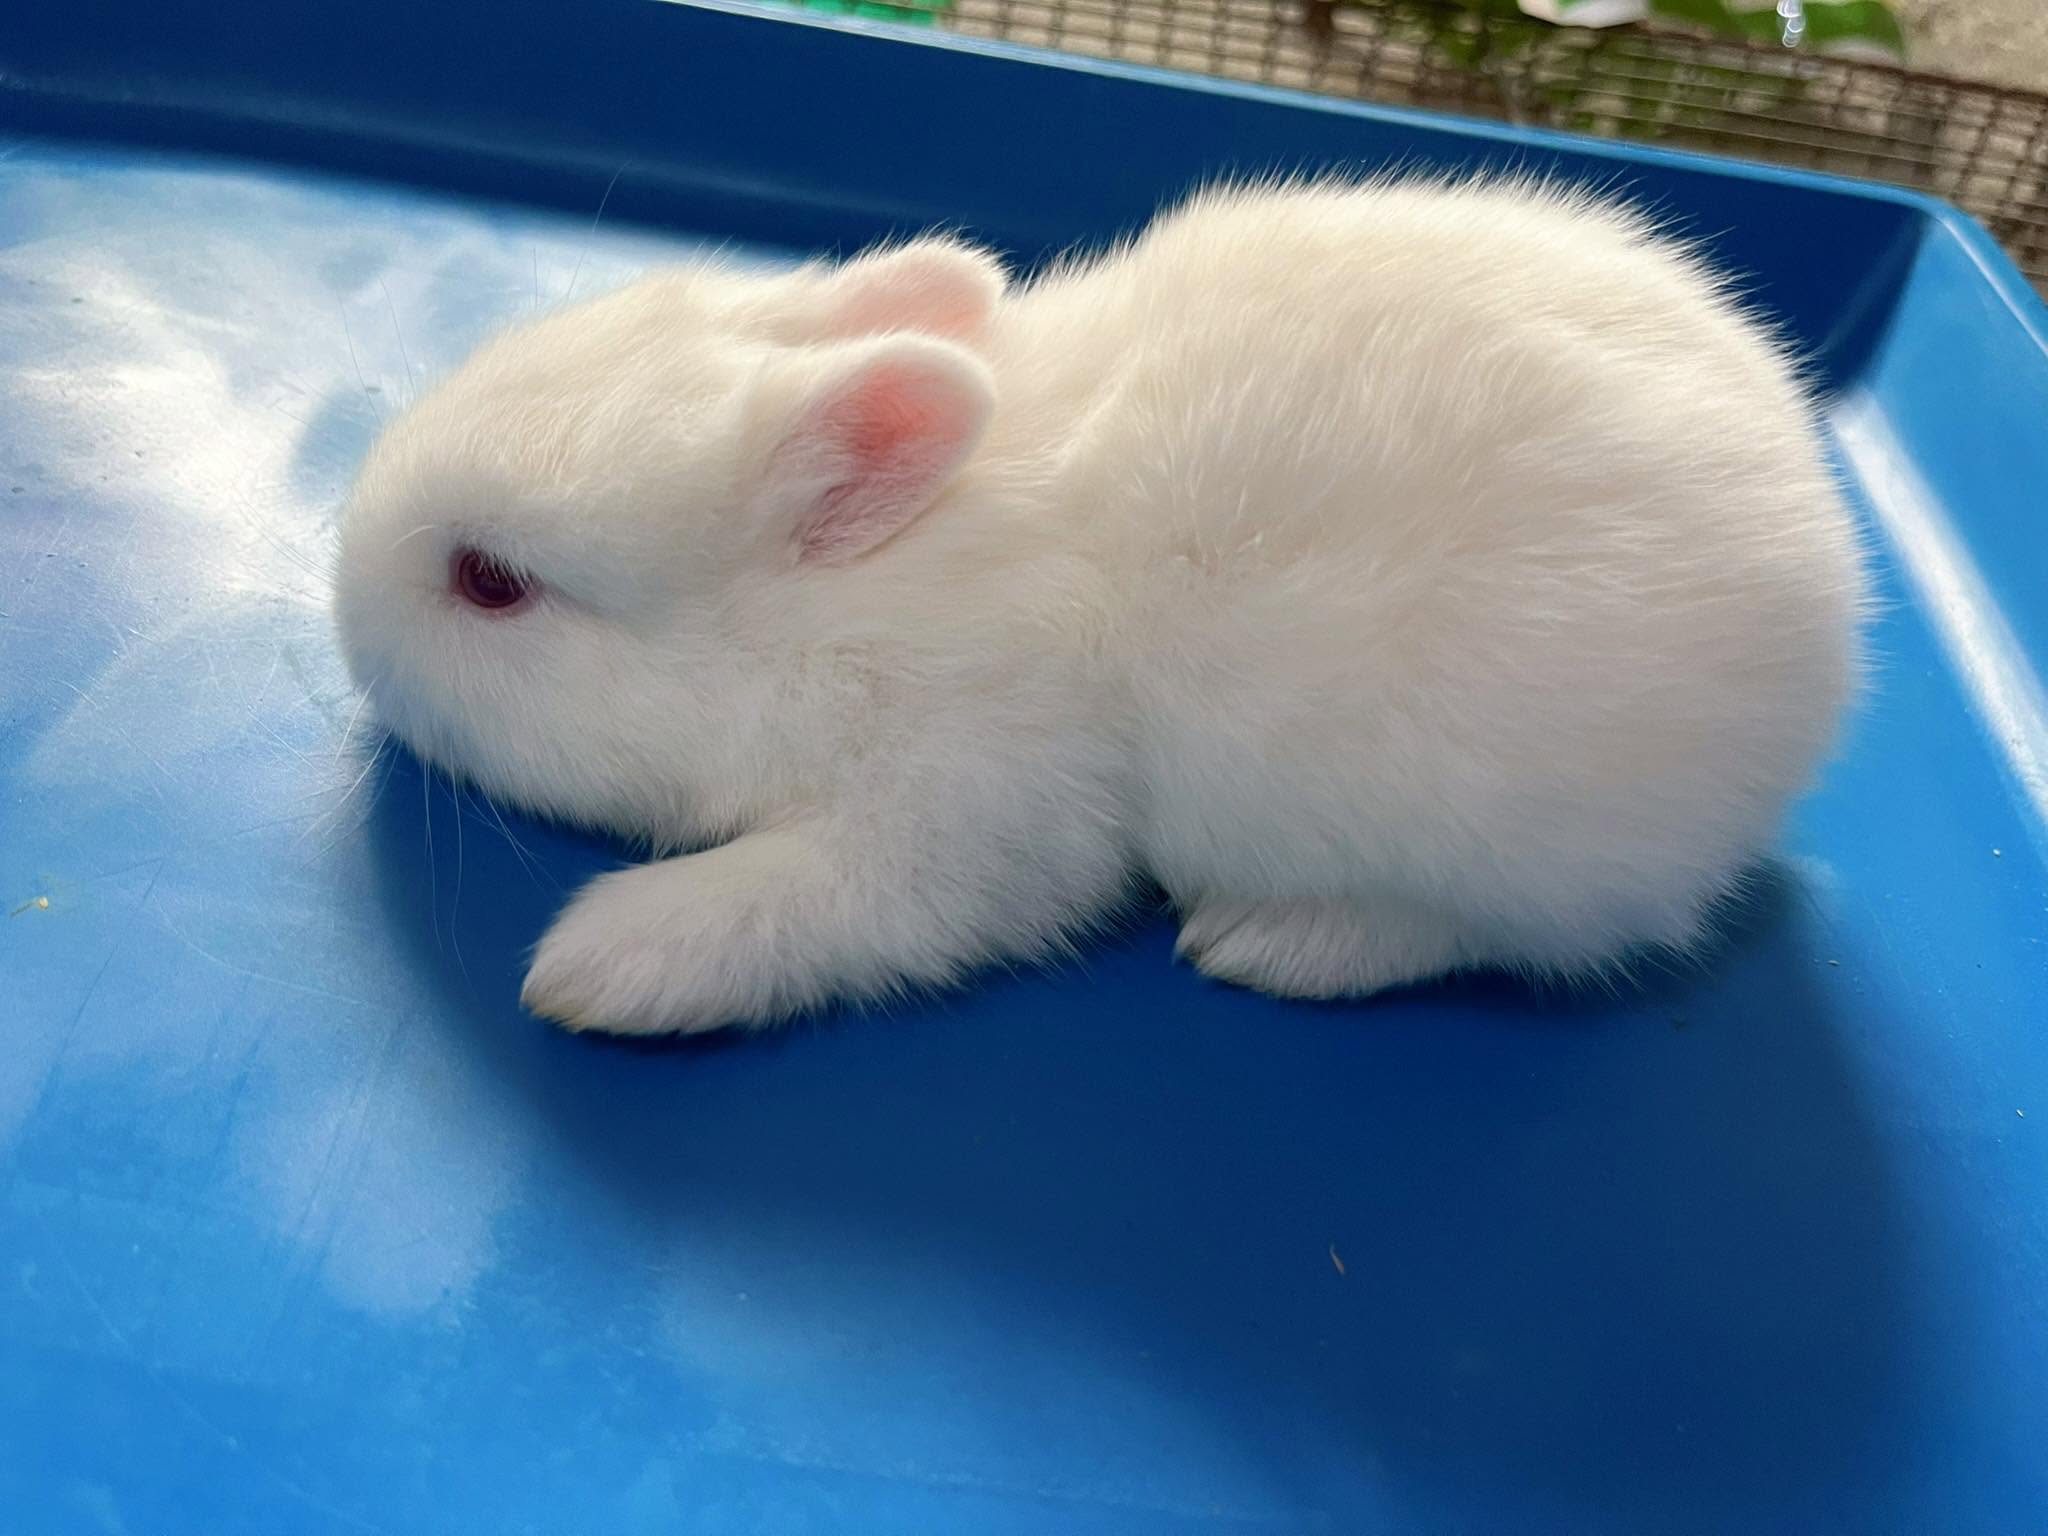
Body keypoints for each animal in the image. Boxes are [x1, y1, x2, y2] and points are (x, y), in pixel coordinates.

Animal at [333, 177, 1866, 1036]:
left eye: (491, 583)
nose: (342, 601)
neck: (851, 602)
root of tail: (1830, 587)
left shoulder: (971, 813)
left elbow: (822, 904)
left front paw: (597, 967)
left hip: (1502, 837)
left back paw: (1277, 943)